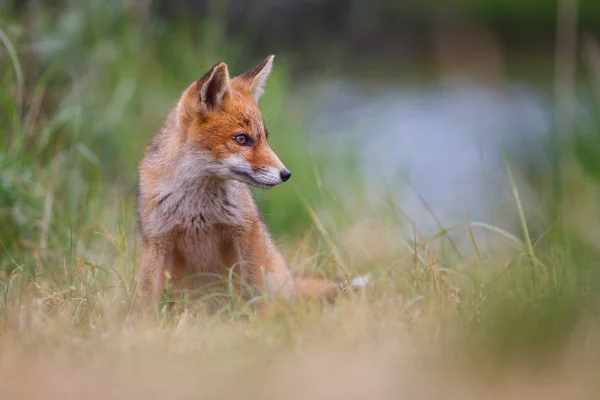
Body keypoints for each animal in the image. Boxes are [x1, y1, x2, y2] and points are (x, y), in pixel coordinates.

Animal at [132, 54, 366, 316]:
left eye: (264, 138)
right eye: (242, 139)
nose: (286, 174)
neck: (198, 211)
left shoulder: (246, 230)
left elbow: (255, 288)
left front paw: (261, 322)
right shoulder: (156, 241)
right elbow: (145, 298)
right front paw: (143, 323)